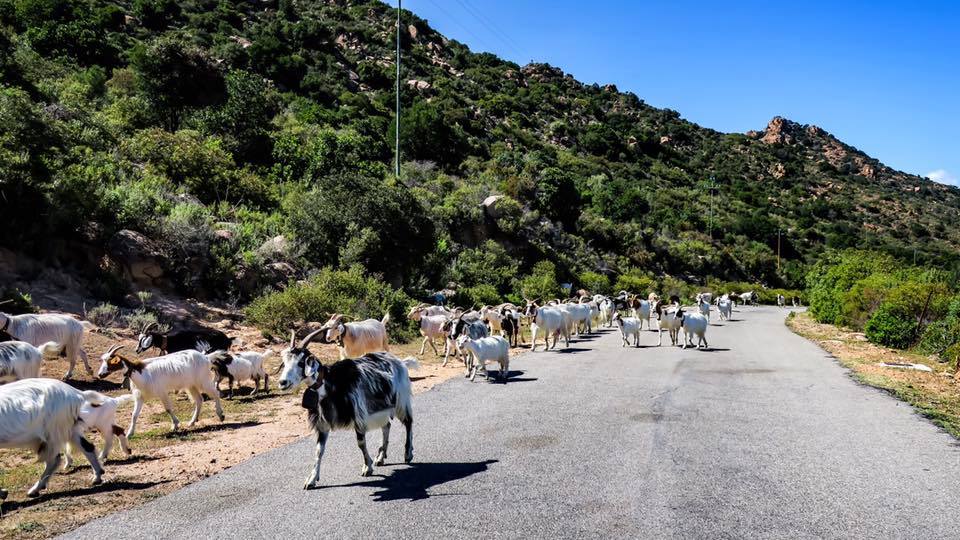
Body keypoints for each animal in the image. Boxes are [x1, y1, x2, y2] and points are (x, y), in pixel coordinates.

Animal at [97, 346, 225, 438]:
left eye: (110, 362)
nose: (100, 374)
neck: (141, 373)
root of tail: (206, 357)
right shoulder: (140, 397)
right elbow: (134, 415)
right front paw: (129, 434)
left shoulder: (162, 392)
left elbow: (168, 409)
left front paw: (175, 425)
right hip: (191, 385)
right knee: (199, 399)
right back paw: (192, 422)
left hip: (203, 380)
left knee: (215, 393)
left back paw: (221, 415)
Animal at [274, 330, 416, 490]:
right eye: (285, 362)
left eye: (300, 363)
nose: (283, 382)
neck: (330, 383)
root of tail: (400, 362)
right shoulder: (322, 424)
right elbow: (319, 450)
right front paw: (311, 479)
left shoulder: (358, 415)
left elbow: (361, 443)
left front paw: (367, 467)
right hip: (381, 407)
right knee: (387, 426)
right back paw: (380, 457)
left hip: (401, 399)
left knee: (408, 422)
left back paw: (408, 453)